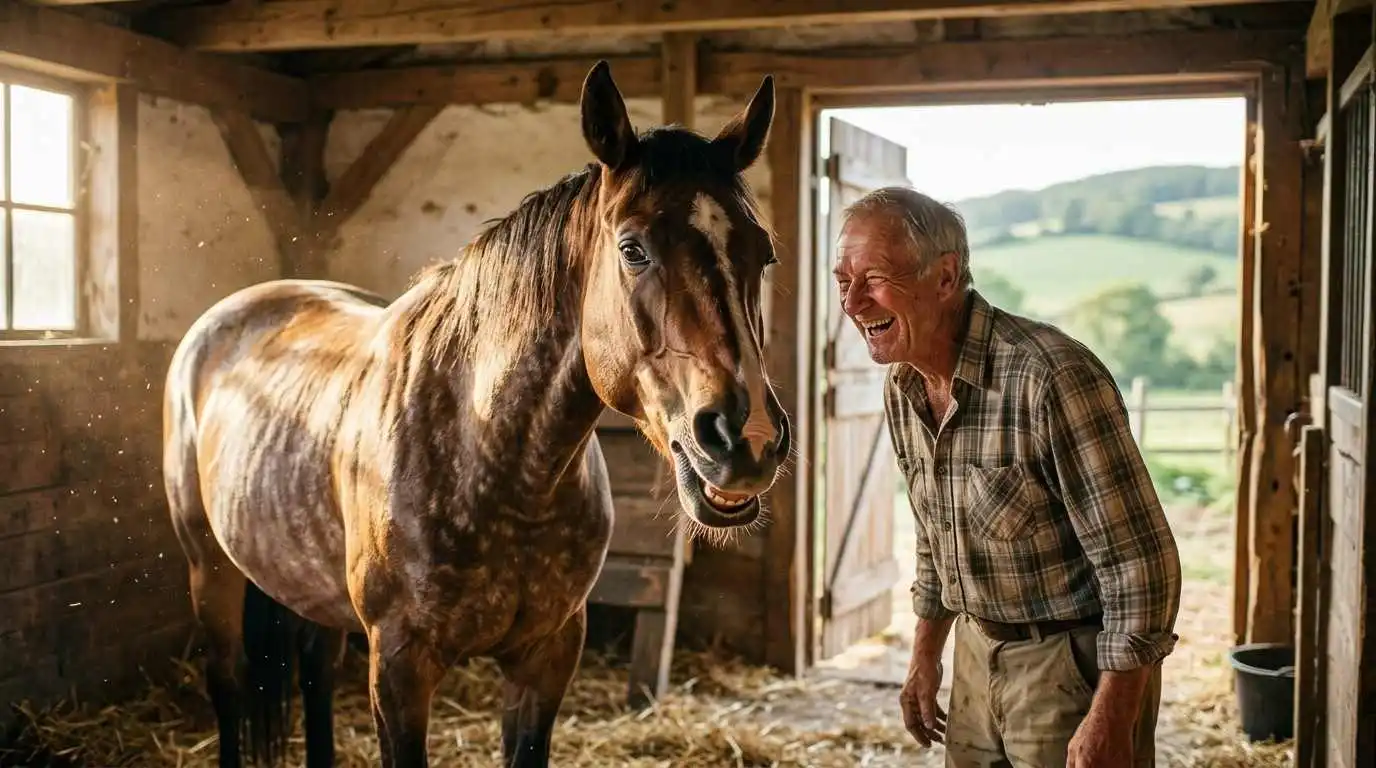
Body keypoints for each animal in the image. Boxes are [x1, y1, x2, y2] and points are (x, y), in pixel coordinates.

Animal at [161, 60, 789, 768]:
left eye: (763, 252)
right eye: (633, 250)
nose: (747, 440)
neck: (495, 463)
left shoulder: (547, 656)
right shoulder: (400, 669)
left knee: (316, 670)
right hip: (209, 568)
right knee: (229, 682)